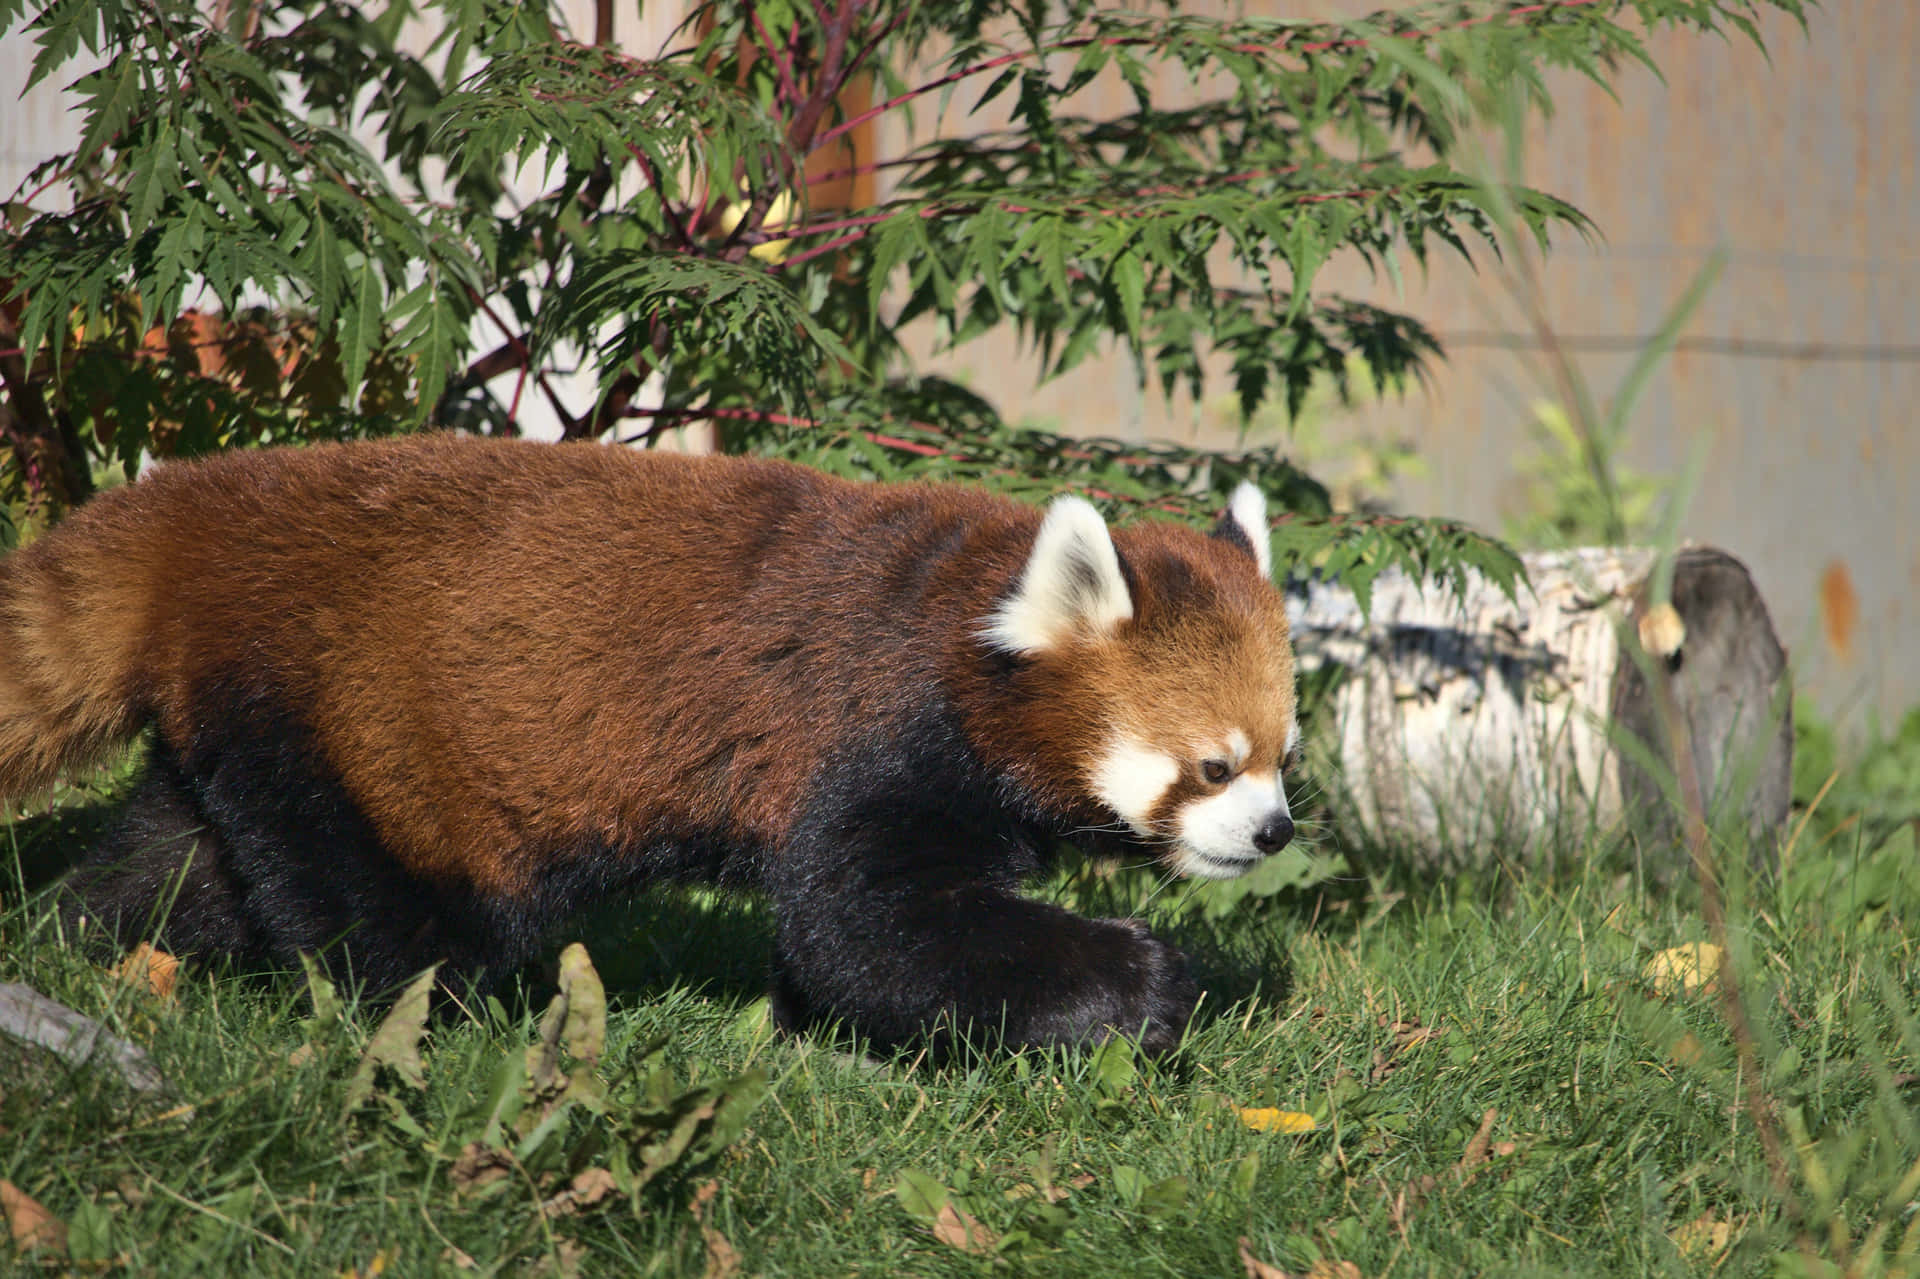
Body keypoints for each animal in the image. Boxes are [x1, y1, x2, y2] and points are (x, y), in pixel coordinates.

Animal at [3, 434, 1305, 1052]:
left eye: (1284, 756)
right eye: (1214, 766)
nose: (1275, 831)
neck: (961, 629)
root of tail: (195, 516)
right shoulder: (874, 733)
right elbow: (863, 922)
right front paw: (1139, 985)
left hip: (256, 718)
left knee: (184, 859)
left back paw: (83, 944)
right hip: (371, 732)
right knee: (390, 910)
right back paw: (435, 1019)